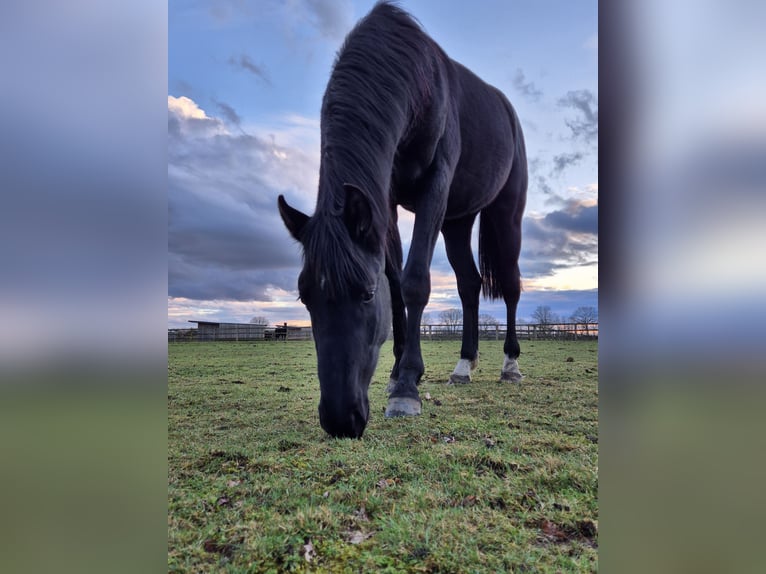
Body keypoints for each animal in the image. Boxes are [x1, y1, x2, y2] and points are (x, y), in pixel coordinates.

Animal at [278, 2, 527, 438]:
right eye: (305, 297)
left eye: (364, 294)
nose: (341, 420)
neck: (417, 83)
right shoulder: (385, 200)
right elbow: (395, 284)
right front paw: (396, 374)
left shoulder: (434, 186)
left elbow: (413, 282)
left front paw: (408, 387)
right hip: (457, 221)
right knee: (469, 284)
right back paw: (464, 365)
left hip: (506, 213)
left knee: (511, 285)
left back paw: (510, 365)